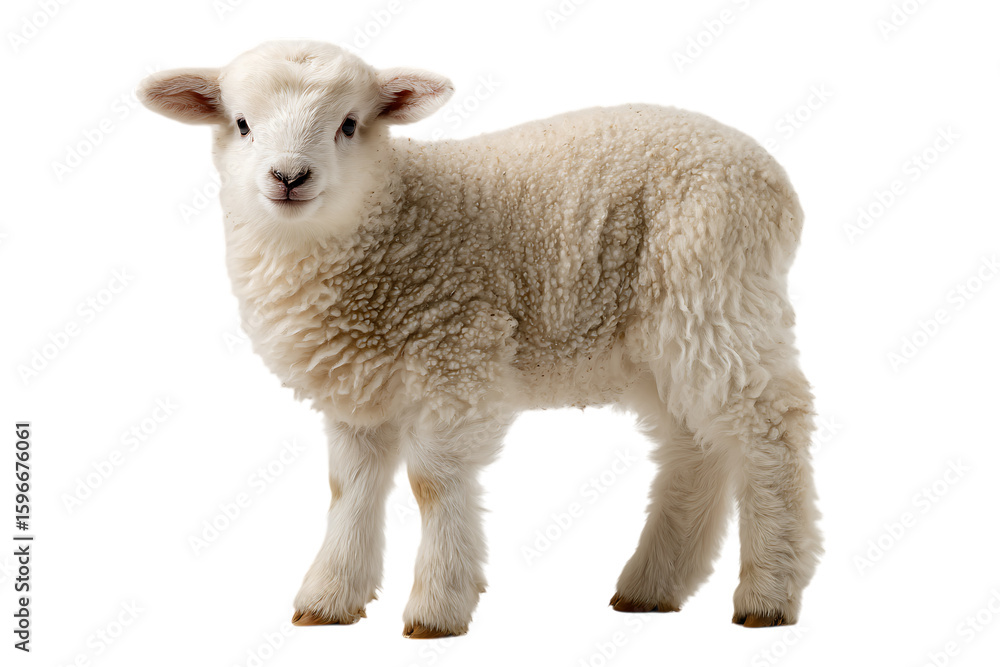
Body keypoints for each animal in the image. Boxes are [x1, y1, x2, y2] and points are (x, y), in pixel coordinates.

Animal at [138, 40, 821, 638]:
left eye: (349, 125)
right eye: (242, 123)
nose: (289, 176)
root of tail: (775, 179)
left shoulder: (458, 357)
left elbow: (432, 483)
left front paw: (437, 608)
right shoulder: (359, 386)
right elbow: (349, 487)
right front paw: (330, 599)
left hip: (715, 296)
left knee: (769, 431)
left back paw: (768, 593)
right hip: (657, 344)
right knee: (693, 451)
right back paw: (652, 586)